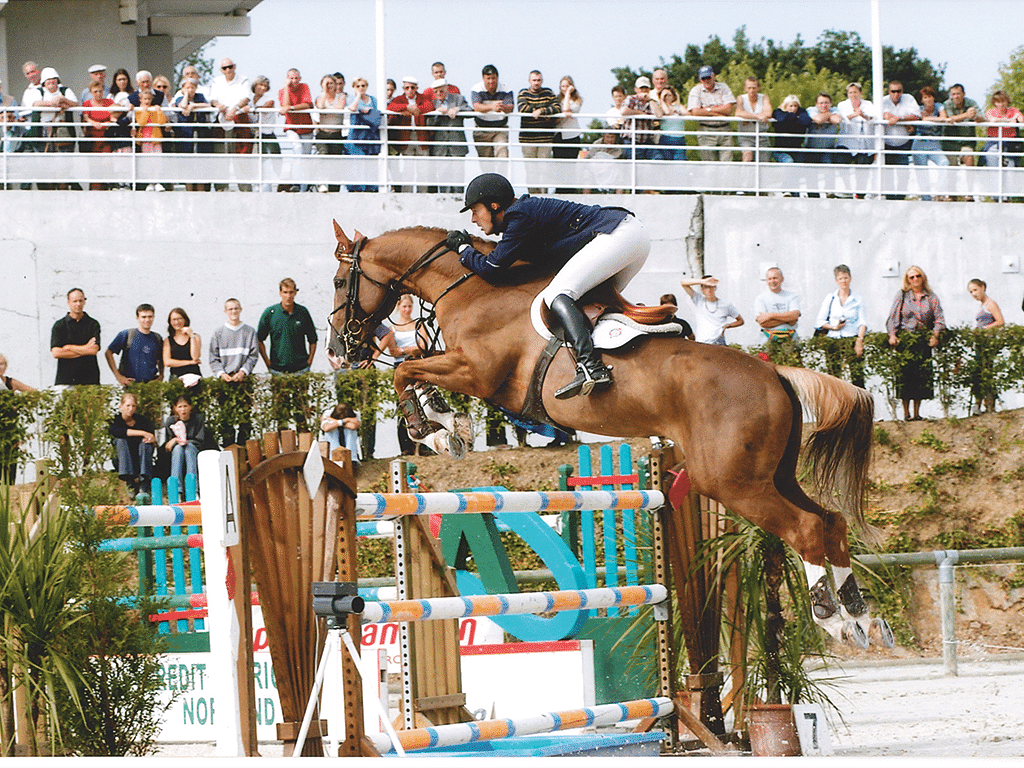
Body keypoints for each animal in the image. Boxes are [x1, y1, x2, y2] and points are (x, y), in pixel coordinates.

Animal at [327, 221, 888, 651]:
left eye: (337, 280)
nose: (336, 351)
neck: (469, 287)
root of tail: (774, 373)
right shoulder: (463, 368)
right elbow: (413, 366)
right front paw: (449, 430)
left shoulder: (476, 372)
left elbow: (406, 370)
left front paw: (433, 429)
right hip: (772, 472)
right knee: (832, 523)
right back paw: (862, 616)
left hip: (732, 482)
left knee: (807, 529)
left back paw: (833, 620)